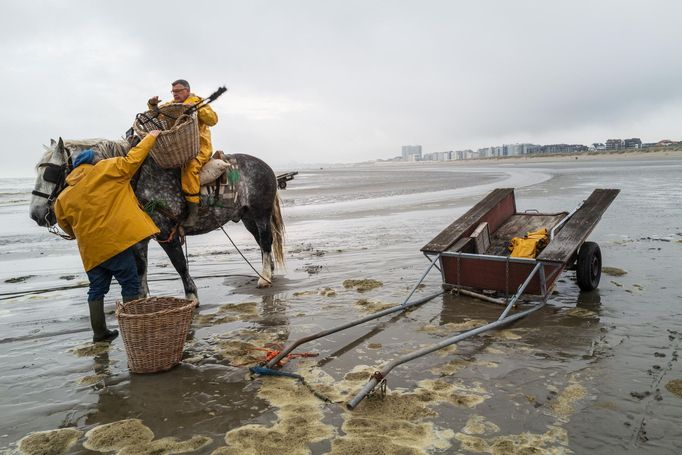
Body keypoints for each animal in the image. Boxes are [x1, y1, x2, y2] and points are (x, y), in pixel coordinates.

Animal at [28, 137, 284, 300]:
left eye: (50, 172)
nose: (35, 214)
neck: (133, 179)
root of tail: (266, 167)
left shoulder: (166, 232)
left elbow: (179, 264)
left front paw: (191, 295)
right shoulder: (140, 240)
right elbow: (141, 271)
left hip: (260, 214)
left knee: (266, 240)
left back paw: (265, 278)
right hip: (247, 217)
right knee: (263, 243)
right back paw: (268, 270)